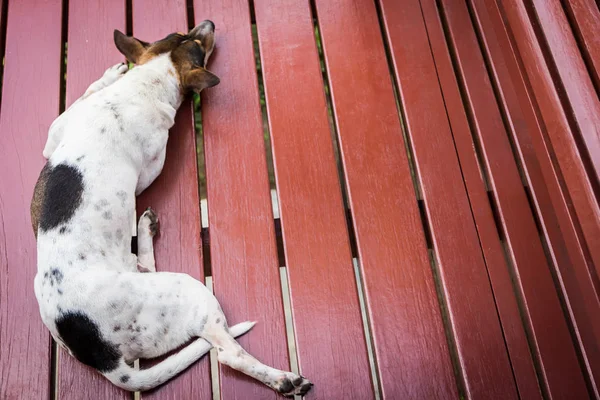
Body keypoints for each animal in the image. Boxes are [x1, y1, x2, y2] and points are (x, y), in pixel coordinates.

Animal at [29, 20, 314, 396]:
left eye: (181, 33)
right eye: (201, 47)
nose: (209, 22)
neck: (143, 84)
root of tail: (103, 358)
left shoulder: (55, 135)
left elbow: (83, 97)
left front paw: (111, 73)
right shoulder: (149, 168)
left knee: (145, 267)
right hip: (188, 289)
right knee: (227, 354)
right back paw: (282, 378)